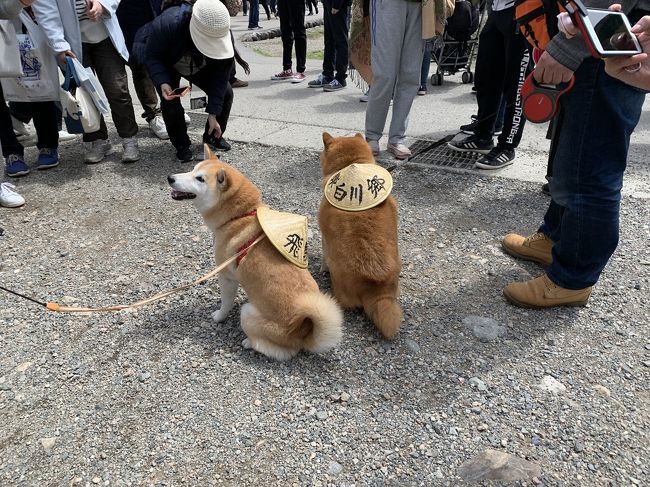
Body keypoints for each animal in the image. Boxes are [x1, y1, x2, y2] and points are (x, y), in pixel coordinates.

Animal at [166, 147, 344, 360]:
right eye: (192, 169)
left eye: (200, 179)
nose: (170, 177)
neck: (239, 216)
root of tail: (302, 332)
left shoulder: (226, 277)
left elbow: (226, 303)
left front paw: (219, 316)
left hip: (247, 313)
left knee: (277, 350)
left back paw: (248, 342)